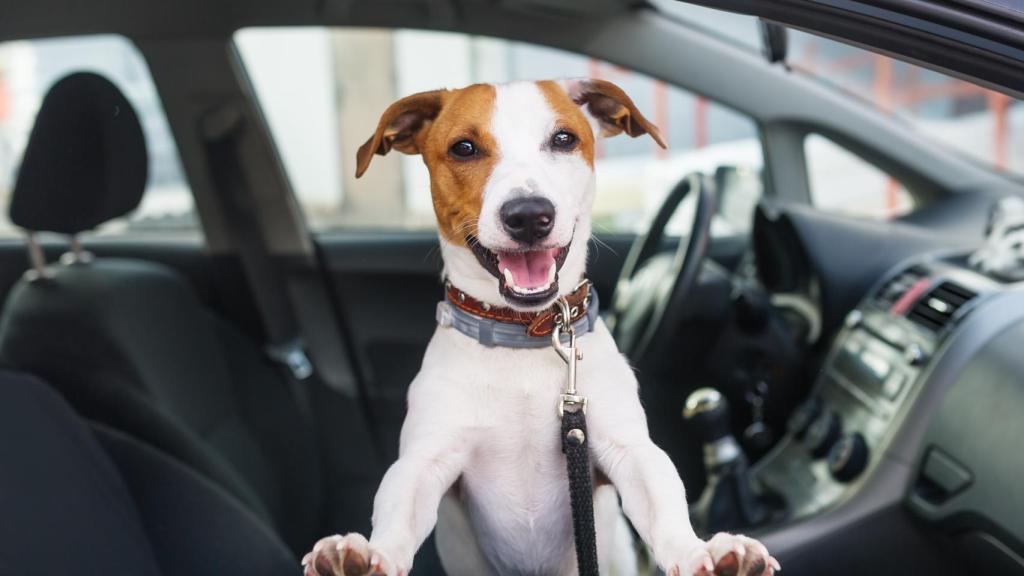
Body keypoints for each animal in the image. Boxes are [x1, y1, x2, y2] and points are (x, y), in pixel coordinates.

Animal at [299, 77, 778, 573]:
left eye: (564, 139)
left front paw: (704, 551)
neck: (522, 336)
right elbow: (397, 510)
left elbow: (664, 500)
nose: (528, 214)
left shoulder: (627, 449)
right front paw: (365, 556)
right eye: (463, 148)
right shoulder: (425, 460)